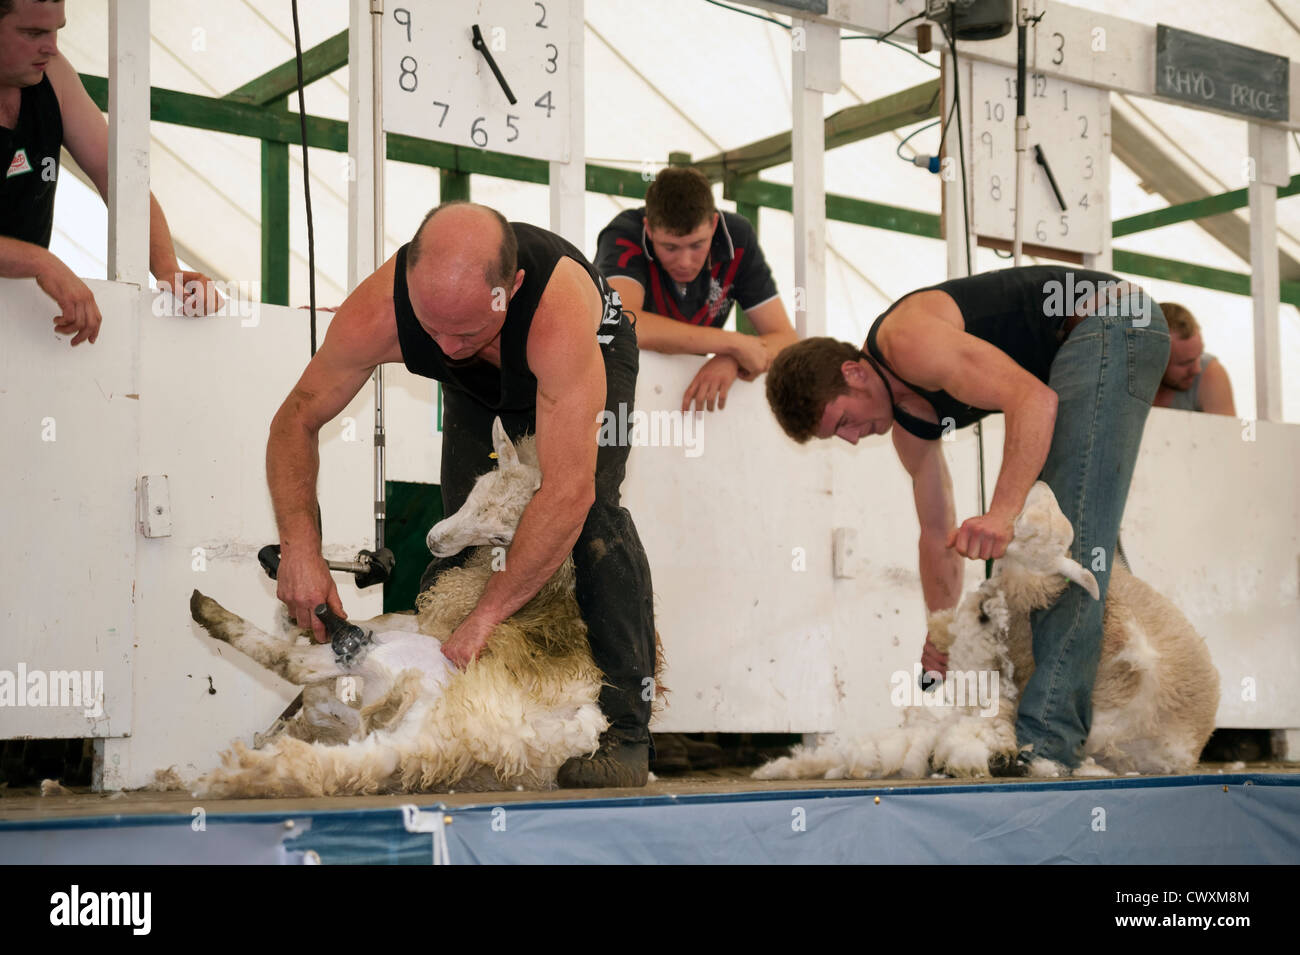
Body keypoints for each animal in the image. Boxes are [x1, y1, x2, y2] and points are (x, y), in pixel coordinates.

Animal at [188, 420, 608, 795]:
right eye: (480, 487)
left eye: (503, 536)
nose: (436, 541)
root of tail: (436, 749)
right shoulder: (424, 621)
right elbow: (376, 615)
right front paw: (298, 616)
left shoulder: (435, 628)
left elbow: (361, 623)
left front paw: (297, 619)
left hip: (402, 657)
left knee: (297, 665)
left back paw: (209, 613)